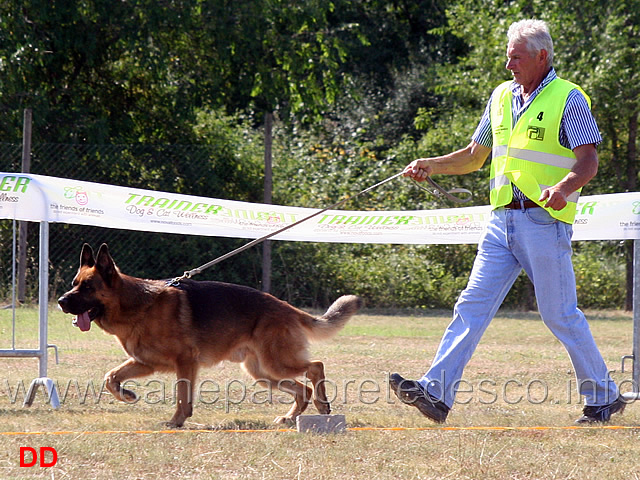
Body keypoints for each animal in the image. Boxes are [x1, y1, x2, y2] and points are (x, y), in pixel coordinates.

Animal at [57, 244, 362, 428]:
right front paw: (127, 395)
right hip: (263, 373)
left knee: (316, 367)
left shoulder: (185, 362)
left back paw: (323, 405)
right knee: (303, 389)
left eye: (87, 287)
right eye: (74, 284)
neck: (137, 305)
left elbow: (183, 396)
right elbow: (110, 377)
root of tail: (287, 307)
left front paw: (176, 422)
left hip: (276, 363)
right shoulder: (144, 362)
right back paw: (289, 419)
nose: (60, 301)